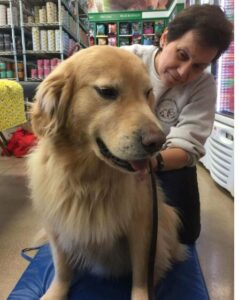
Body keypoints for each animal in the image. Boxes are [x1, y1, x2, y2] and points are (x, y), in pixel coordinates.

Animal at [27, 45, 185, 300]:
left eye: (147, 92)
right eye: (107, 92)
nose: (157, 142)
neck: (89, 179)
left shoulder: (142, 227)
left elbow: (141, 273)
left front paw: (142, 294)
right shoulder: (57, 225)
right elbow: (61, 268)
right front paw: (55, 292)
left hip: (166, 216)